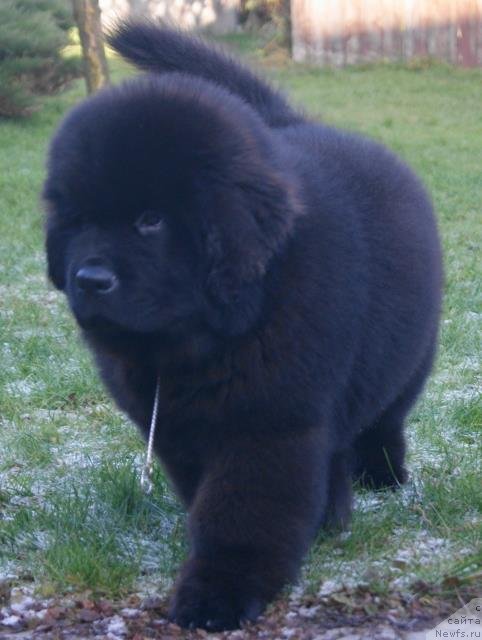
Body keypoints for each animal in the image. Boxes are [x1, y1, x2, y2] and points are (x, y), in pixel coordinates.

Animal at [43, 22, 442, 632]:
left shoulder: (270, 420)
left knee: (383, 421)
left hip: (405, 365)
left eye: (151, 221)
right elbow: (206, 492)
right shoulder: (178, 427)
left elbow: (243, 509)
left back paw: (380, 477)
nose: (89, 279)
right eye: (81, 219)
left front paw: (218, 595)